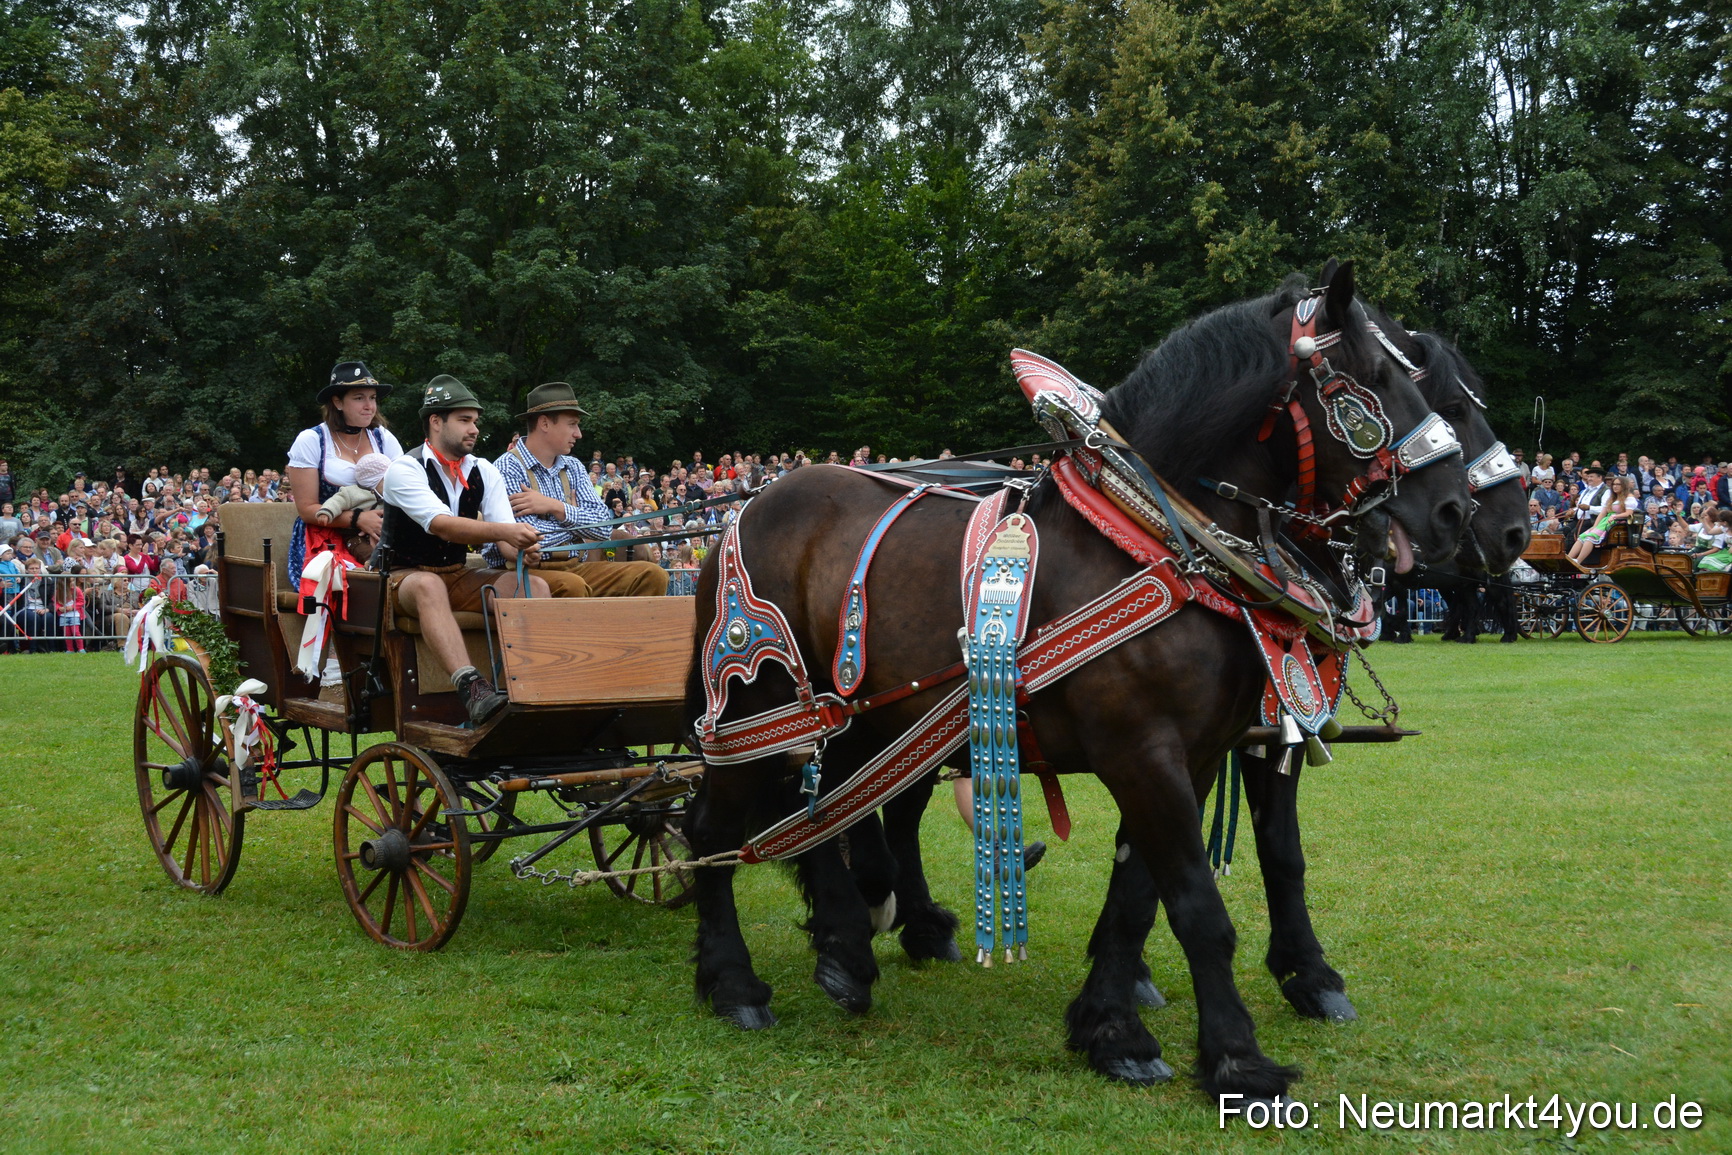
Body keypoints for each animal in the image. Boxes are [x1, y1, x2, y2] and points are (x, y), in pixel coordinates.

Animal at [681, 262, 1473, 1099]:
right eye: (1373, 378)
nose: (1456, 511)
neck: (1153, 540)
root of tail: (742, 513)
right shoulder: (1143, 751)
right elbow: (1197, 904)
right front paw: (1236, 1055)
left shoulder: (1191, 755)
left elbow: (1138, 895)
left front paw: (1111, 1028)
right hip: (754, 710)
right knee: (715, 831)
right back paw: (735, 982)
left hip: (861, 720)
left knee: (830, 819)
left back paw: (847, 953)